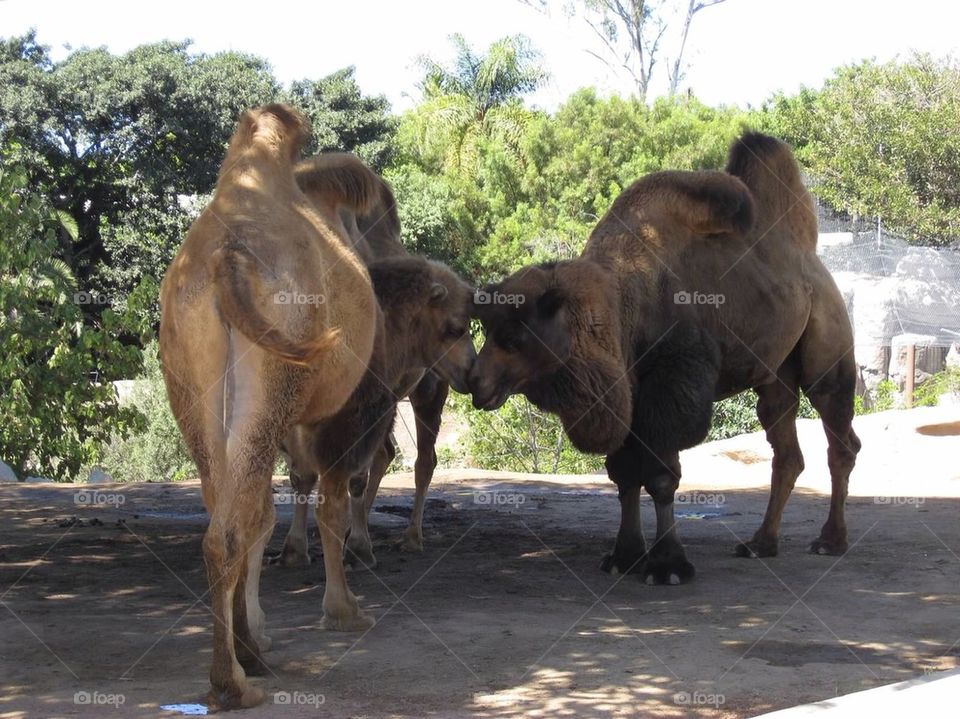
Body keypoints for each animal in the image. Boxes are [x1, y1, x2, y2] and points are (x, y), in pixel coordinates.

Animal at [159, 104, 377, 710]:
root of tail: (225, 259)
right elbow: (327, 505)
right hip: (275, 374)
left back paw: (238, 666)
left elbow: (263, 513)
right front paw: (344, 612)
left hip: (191, 379)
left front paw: (257, 634)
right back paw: (235, 681)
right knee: (242, 520)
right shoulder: (329, 413)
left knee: (222, 520)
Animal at [275, 154, 455, 569]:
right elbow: (302, 473)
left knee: (423, 459)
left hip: (429, 387)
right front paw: (295, 548)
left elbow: (350, 470)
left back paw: (409, 537)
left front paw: (358, 547)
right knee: (385, 454)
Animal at [469, 132, 860, 585]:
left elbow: (659, 476)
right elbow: (623, 474)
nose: (476, 383)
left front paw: (667, 564)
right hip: (775, 375)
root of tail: (814, 264)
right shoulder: (629, 391)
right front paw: (623, 556)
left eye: (515, 337)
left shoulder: (672, 382)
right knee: (786, 450)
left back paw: (831, 540)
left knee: (839, 436)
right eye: (488, 331)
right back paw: (761, 543)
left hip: (827, 348)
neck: (623, 306)